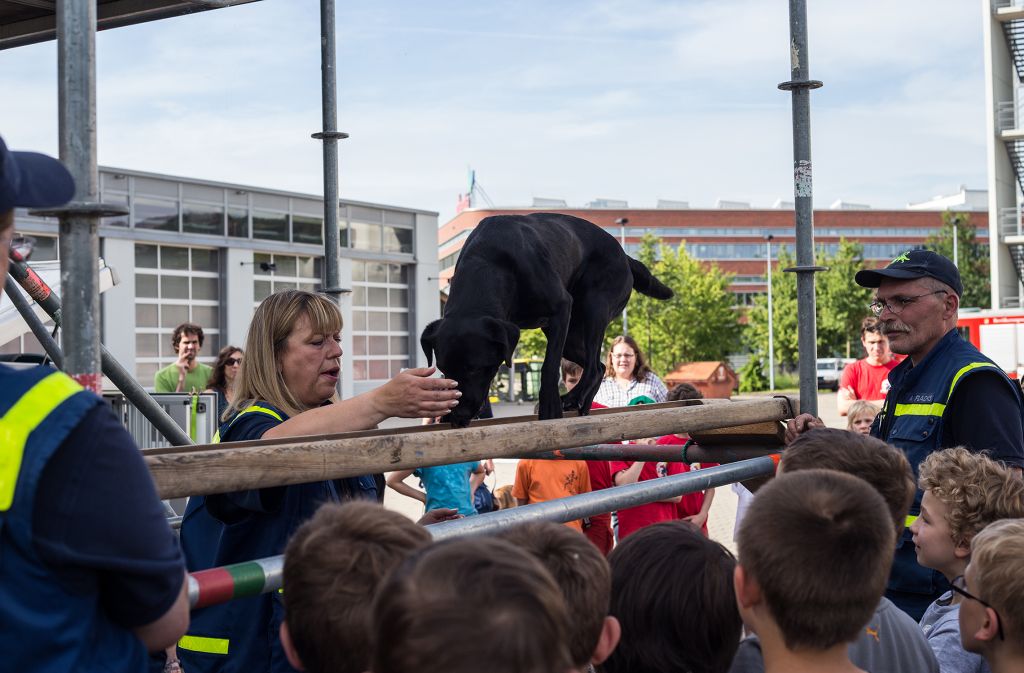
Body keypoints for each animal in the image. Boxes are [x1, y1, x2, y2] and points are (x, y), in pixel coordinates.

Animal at [417, 213, 671, 426]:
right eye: (443, 369)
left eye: (475, 368)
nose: (457, 418)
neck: (488, 261)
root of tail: (626, 256)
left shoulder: (561, 307)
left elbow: (549, 367)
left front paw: (550, 408)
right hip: (568, 336)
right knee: (598, 365)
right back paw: (580, 402)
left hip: (593, 307)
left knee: (592, 365)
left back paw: (573, 398)